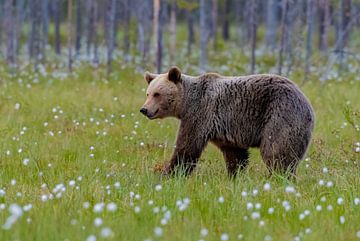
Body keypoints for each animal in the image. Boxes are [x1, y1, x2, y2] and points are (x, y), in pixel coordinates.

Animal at [139, 66, 314, 177]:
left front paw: (168, 174)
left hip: (281, 116)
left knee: (276, 152)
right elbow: (235, 155)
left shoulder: (200, 114)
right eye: (148, 93)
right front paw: (234, 176)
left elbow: (187, 147)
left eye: (157, 94)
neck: (185, 104)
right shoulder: (226, 129)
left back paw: (279, 178)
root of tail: (307, 104)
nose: (144, 109)